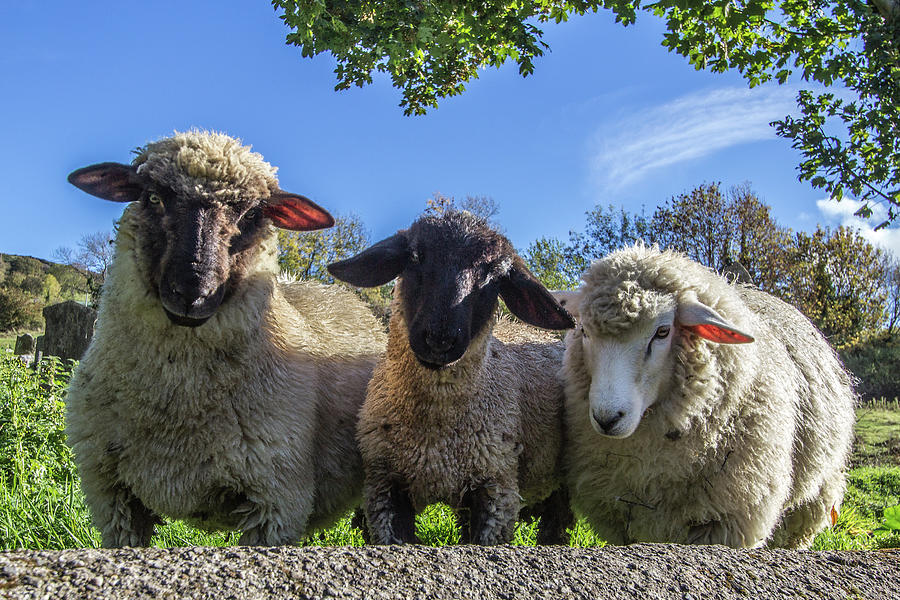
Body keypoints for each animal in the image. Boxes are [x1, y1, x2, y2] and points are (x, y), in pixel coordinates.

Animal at [64, 130, 387, 547]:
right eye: (153, 197)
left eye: (251, 214)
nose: (192, 292)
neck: (178, 406)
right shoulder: (112, 497)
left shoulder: (275, 501)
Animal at [327, 210, 576, 545]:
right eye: (415, 256)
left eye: (494, 275)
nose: (440, 339)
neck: (435, 436)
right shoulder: (385, 486)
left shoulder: (495, 488)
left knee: (557, 522)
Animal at [554, 244, 856, 548]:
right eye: (583, 330)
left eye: (663, 331)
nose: (607, 418)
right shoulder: (620, 520)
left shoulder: (727, 522)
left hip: (813, 499)